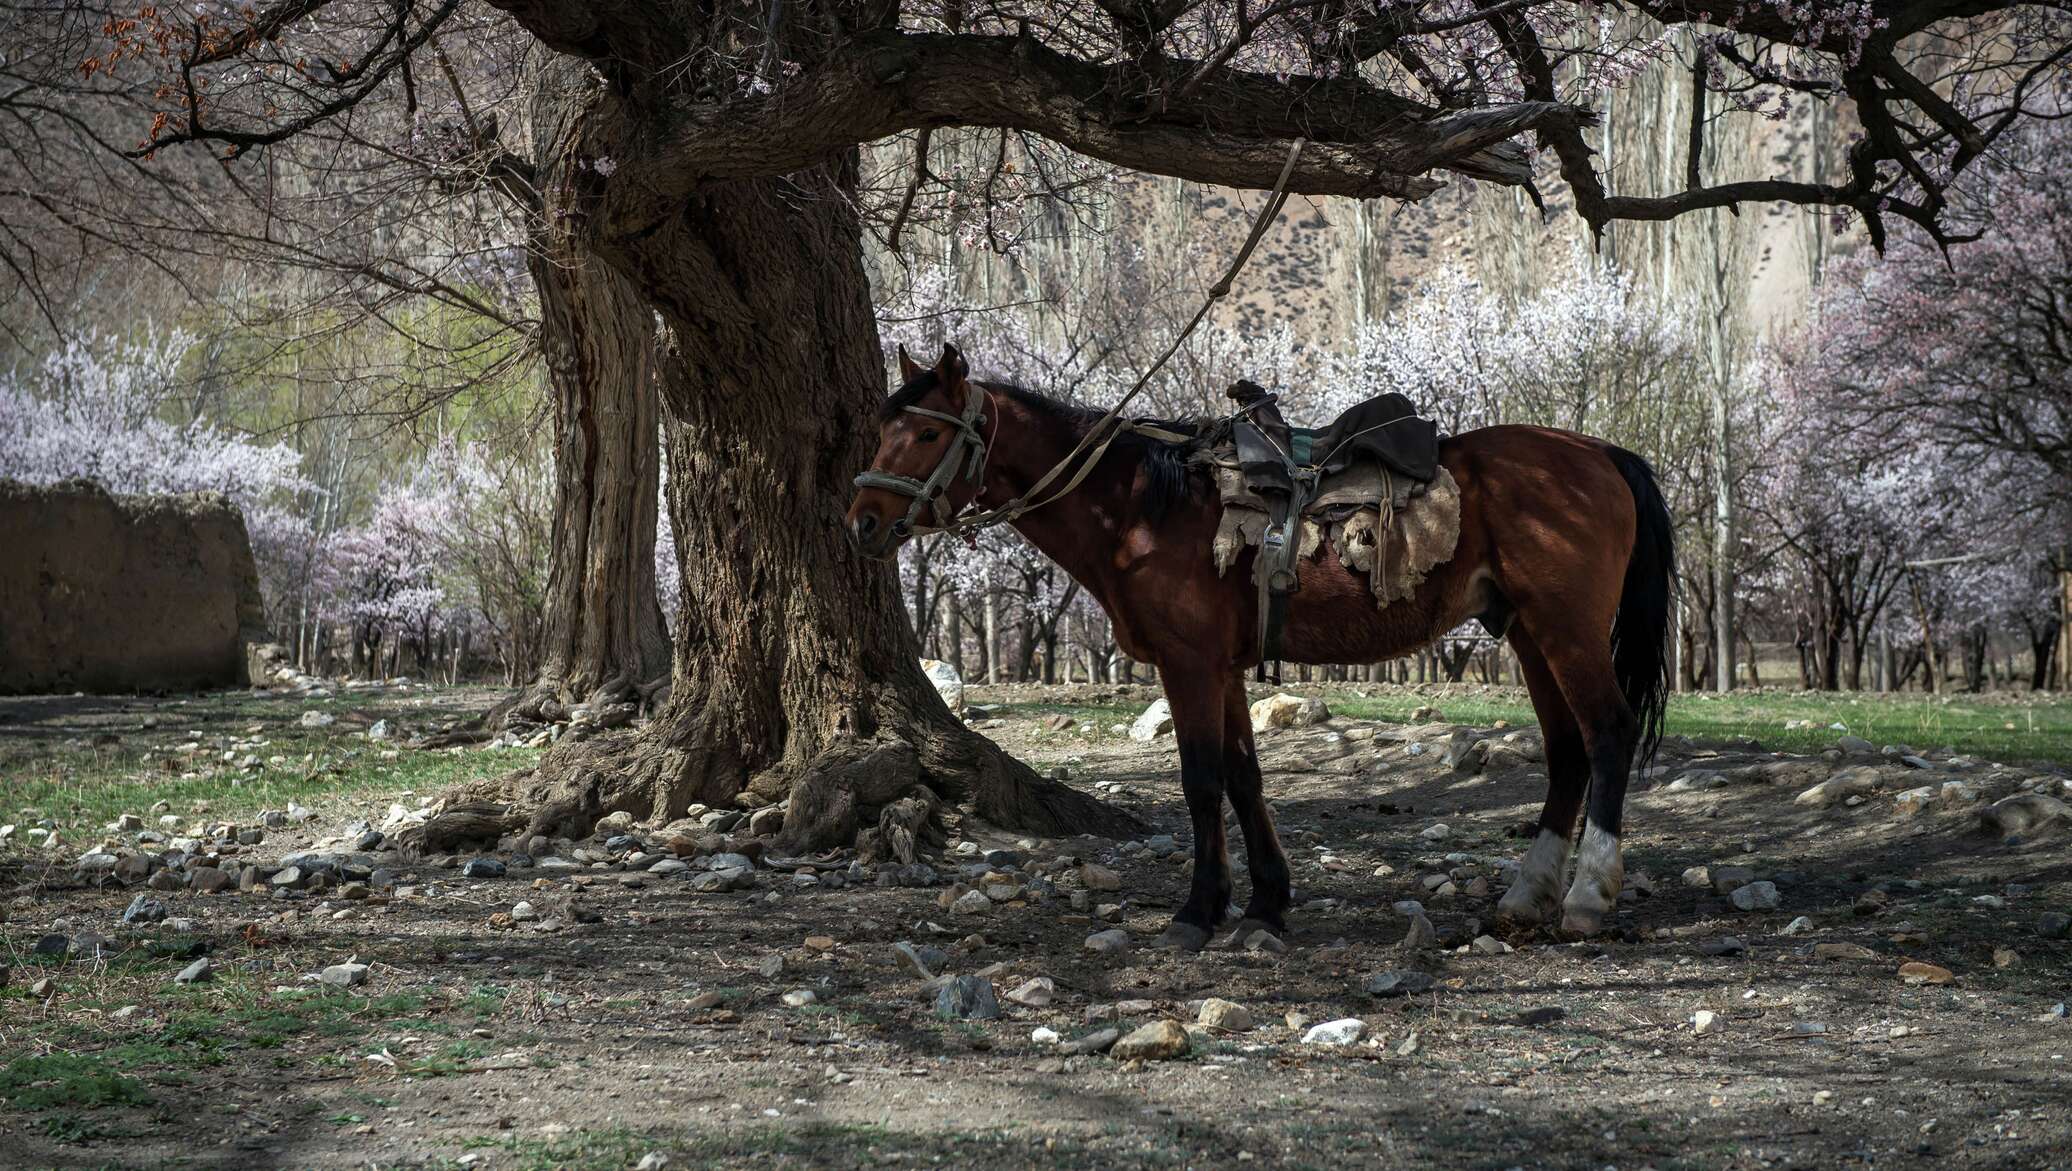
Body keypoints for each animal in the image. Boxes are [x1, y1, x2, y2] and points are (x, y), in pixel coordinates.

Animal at [841, 341, 1665, 945]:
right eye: (881, 432)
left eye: (926, 432)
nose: (862, 522)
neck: (1141, 509)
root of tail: (1598, 452)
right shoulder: (1225, 669)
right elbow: (1245, 777)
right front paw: (1267, 901)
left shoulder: (1189, 666)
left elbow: (1203, 782)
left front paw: (1198, 911)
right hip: (1528, 633)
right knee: (1567, 751)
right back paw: (1526, 895)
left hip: (1565, 629)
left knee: (1608, 733)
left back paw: (1587, 895)